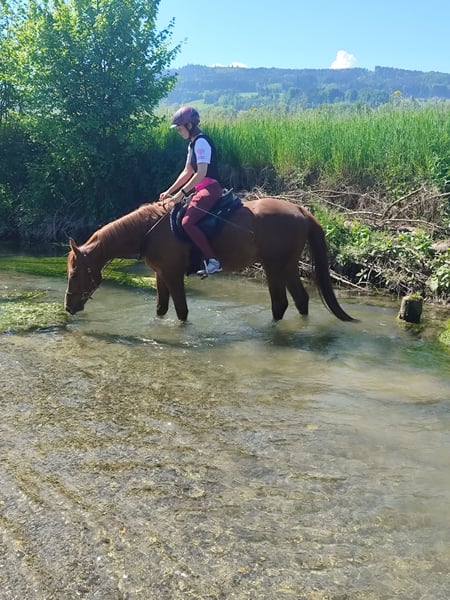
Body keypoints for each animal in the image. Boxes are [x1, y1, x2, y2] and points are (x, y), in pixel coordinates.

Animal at [64, 196, 355, 323]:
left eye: (75, 274)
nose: (68, 306)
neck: (149, 229)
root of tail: (299, 210)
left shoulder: (173, 275)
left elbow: (181, 311)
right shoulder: (160, 274)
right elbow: (160, 309)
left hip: (273, 267)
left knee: (280, 304)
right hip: (288, 266)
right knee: (301, 300)